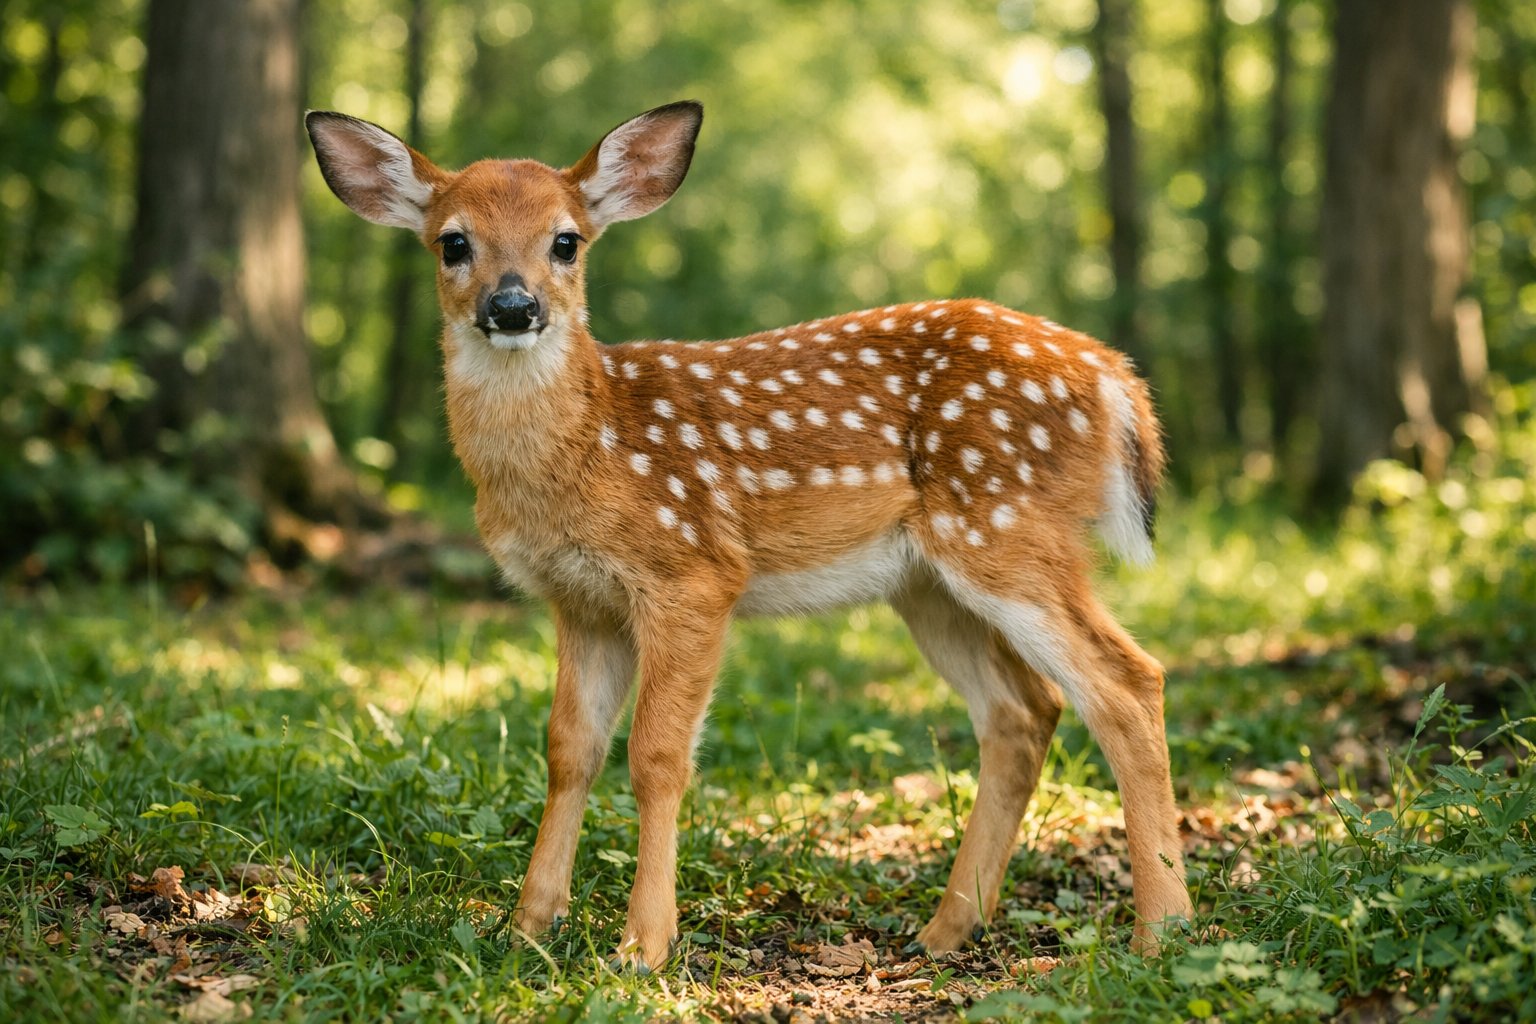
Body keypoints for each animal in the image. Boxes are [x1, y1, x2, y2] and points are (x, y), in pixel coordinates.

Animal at [306, 100, 1193, 971]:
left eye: (567, 240)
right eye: (453, 242)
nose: (514, 307)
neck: (587, 450)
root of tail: (1116, 377)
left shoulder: (691, 572)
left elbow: (657, 755)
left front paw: (643, 945)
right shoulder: (581, 602)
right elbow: (568, 749)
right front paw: (528, 924)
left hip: (1005, 525)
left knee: (1127, 680)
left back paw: (1161, 930)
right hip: (929, 583)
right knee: (1024, 711)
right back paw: (947, 930)